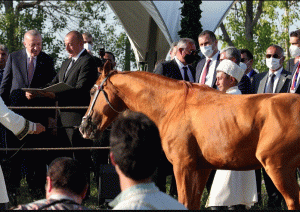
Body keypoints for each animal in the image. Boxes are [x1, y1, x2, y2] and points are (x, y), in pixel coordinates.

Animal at [80, 65, 300, 210]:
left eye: (91, 91)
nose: (84, 126)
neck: (173, 105)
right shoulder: (201, 168)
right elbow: (192, 203)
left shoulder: (182, 165)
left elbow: (184, 201)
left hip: (278, 167)